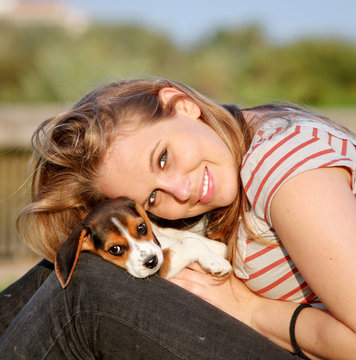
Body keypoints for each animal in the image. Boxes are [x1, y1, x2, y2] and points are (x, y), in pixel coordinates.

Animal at [54, 195, 232, 288]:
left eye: (141, 228)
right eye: (115, 249)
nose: (152, 262)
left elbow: (187, 236)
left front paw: (217, 251)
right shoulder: (163, 267)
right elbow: (190, 242)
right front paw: (216, 262)